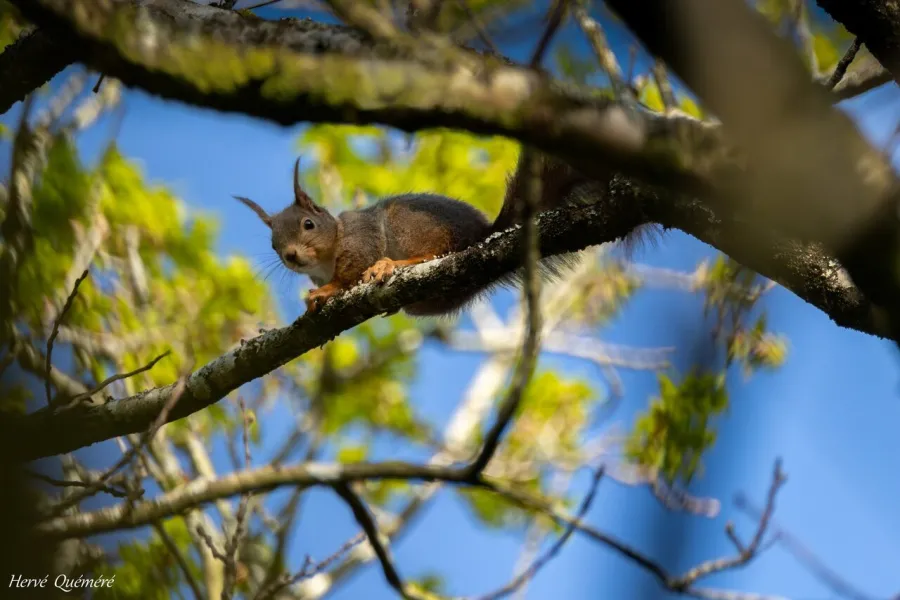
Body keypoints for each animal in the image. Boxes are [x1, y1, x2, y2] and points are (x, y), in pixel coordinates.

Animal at [235, 151, 645, 316]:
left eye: (308, 224)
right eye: (273, 244)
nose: (291, 256)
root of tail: (480, 239)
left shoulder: (361, 237)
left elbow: (350, 272)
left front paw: (326, 291)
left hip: (410, 226)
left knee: (434, 254)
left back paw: (392, 265)